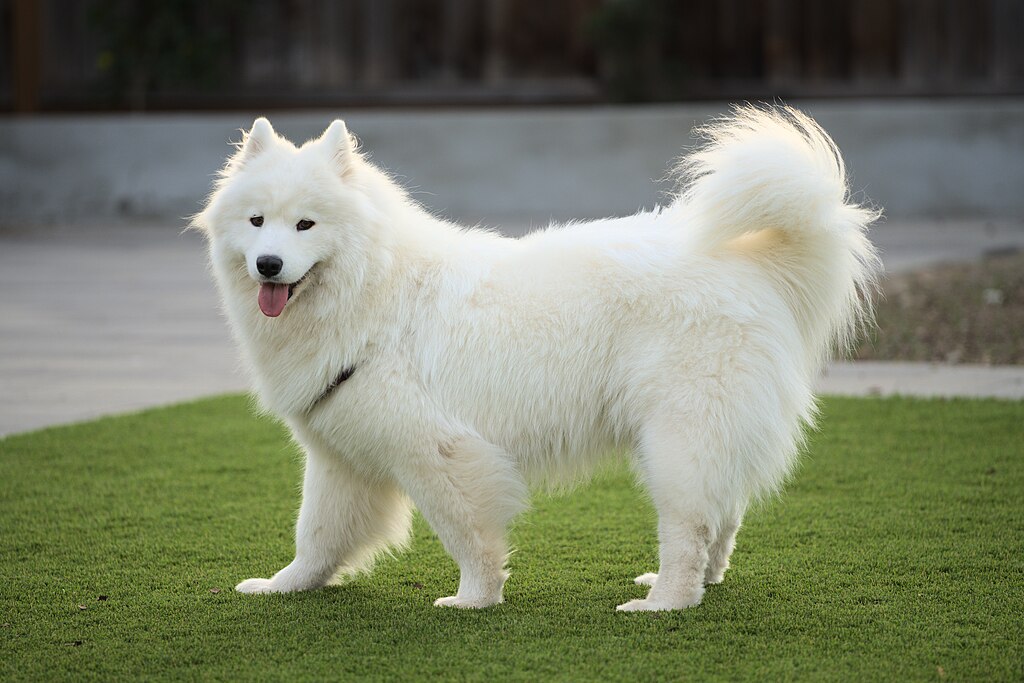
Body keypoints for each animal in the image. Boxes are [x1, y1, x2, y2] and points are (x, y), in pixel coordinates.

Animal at [193, 107, 880, 614]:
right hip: (694, 436)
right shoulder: (340, 458)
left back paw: (665, 601)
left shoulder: (440, 452)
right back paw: (697, 582)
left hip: (676, 438)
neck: (375, 295)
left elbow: (468, 537)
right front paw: (283, 586)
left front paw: (474, 600)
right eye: (257, 221)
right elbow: (316, 535)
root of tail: (748, 263)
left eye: (306, 225)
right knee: (722, 517)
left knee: (690, 527)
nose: (269, 265)